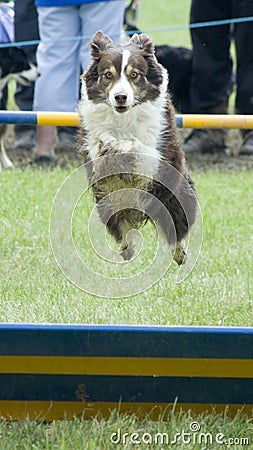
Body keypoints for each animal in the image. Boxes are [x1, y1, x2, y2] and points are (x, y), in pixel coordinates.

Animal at [78, 31, 197, 264]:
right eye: (108, 75)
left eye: (134, 75)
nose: (120, 97)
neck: (124, 117)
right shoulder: (93, 145)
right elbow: (101, 142)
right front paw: (110, 145)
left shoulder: (160, 156)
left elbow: (138, 147)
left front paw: (121, 147)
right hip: (109, 203)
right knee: (122, 225)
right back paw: (127, 247)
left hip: (176, 194)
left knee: (176, 228)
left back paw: (180, 253)